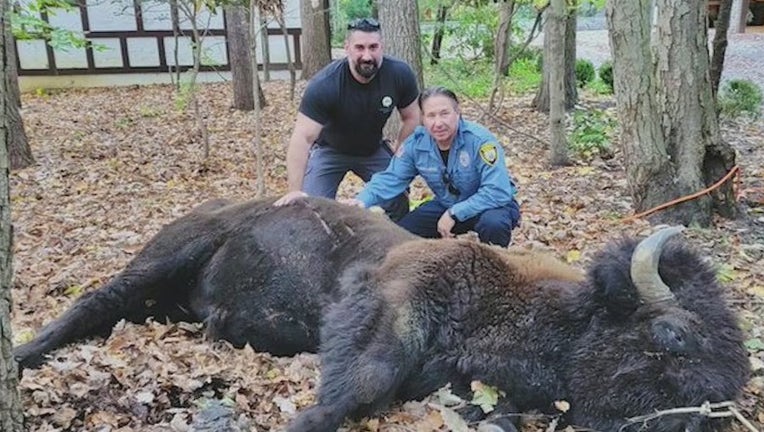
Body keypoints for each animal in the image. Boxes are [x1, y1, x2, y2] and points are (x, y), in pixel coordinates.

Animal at [13, 197, 752, 432]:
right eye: (671, 335)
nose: (697, 422)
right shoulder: (389, 303)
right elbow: (362, 382)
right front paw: (303, 422)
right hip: (163, 257)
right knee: (91, 303)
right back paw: (20, 357)